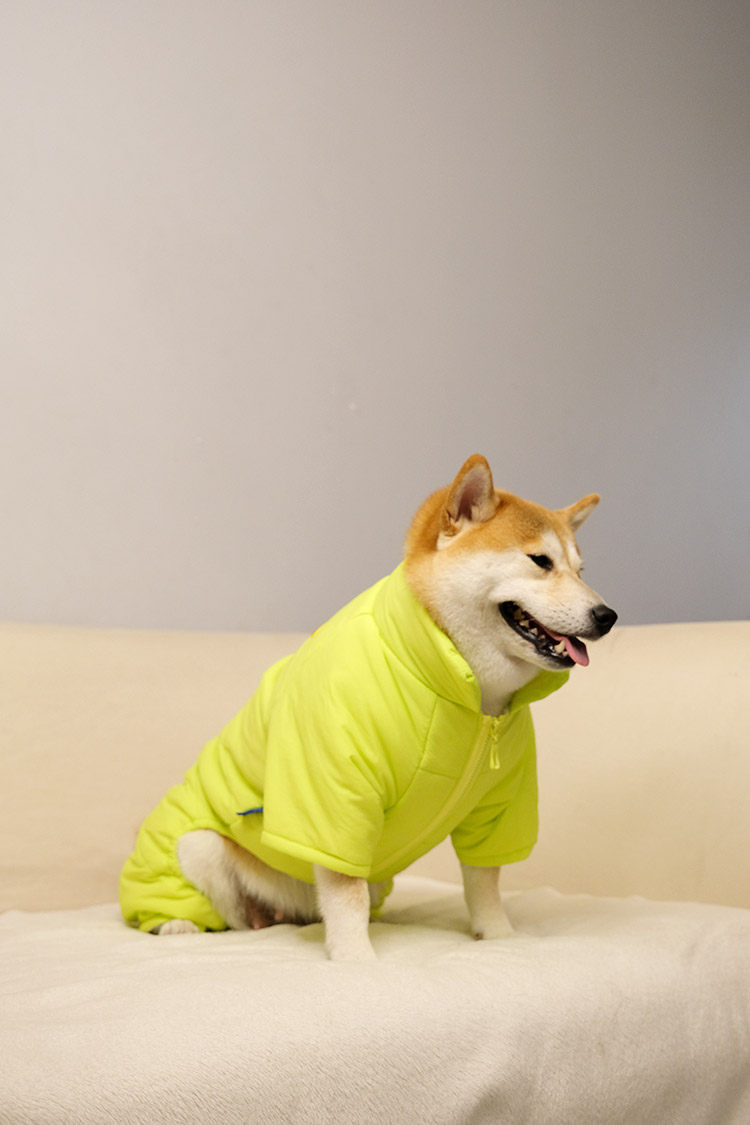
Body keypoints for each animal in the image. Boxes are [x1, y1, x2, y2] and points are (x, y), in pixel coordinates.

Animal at [119, 454, 616, 961]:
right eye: (540, 561)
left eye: (581, 570)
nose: (607, 616)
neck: (471, 699)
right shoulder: (336, 797)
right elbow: (347, 892)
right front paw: (355, 959)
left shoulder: (497, 804)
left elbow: (484, 883)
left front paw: (498, 937)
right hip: (197, 847)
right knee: (224, 913)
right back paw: (179, 924)